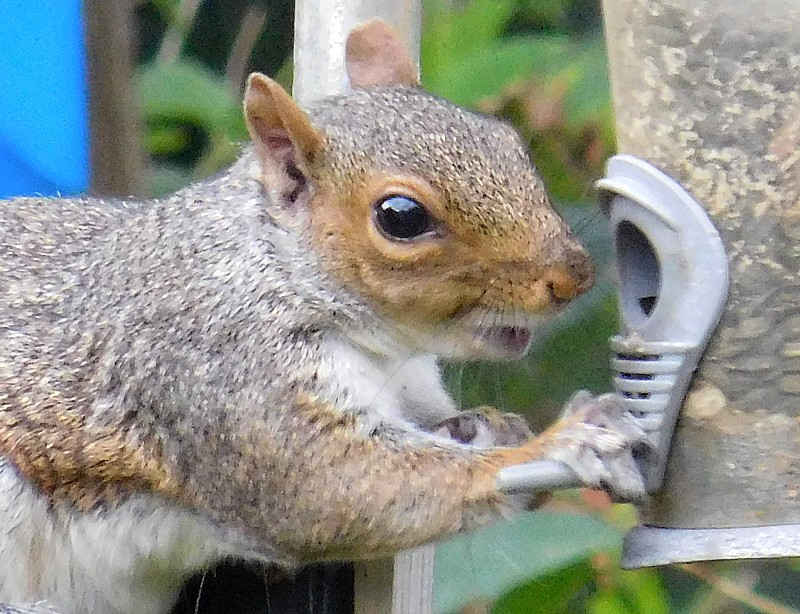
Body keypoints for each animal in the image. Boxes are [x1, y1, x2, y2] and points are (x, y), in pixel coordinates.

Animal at [0, 20, 647, 614]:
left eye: (509, 142)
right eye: (401, 216)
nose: (574, 276)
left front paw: (490, 426)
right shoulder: (221, 375)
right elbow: (331, 487)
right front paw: (557, 445)